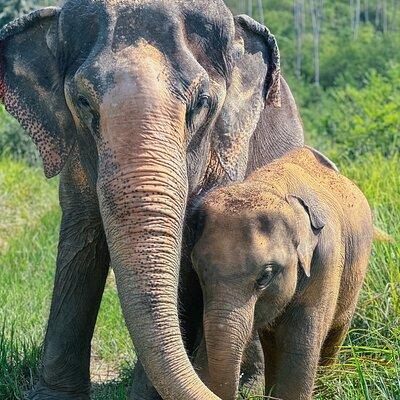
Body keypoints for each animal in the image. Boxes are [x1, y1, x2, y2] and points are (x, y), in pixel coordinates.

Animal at [192, 147, 374, 400]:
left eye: (266, 276)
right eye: (199, 272)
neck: (272, 189)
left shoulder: (325, 263)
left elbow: (299, 348)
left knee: (336, 331)